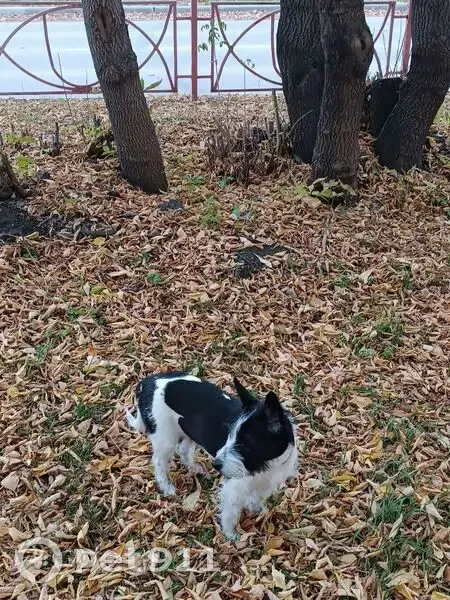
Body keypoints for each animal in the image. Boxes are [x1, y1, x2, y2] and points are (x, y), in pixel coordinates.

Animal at [126, 371, 297, 540]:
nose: (216, 465)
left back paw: (194, 468)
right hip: (165, 438)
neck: (266, 464)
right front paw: (231, 535)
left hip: (188, 430)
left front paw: (256, 508)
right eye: (230, 435)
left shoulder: (265, 482)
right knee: (159, 461)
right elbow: (230, 513)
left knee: (183, 449)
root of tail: (148, 382)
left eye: (245, 443)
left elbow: (256, 496)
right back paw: (166, 487)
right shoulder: (233, 489)